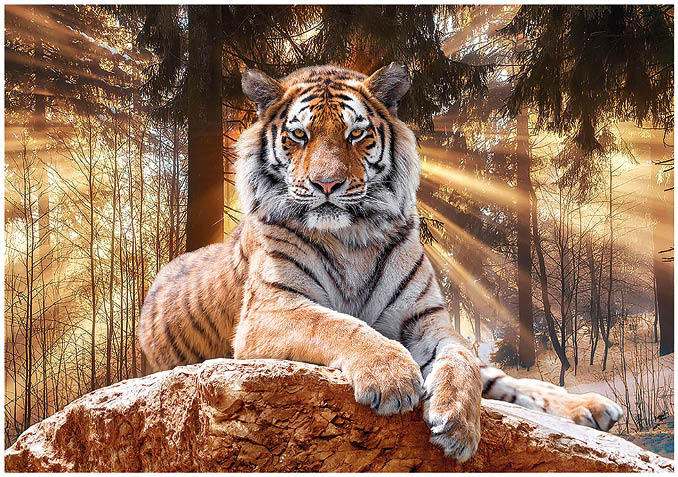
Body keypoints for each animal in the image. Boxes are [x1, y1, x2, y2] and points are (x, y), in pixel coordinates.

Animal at [137, 63, 623, 462]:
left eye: (356, 134)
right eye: (299, 136)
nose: (327, 184)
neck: (351, 237)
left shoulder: (427, 320)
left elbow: (461, 360)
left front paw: (458, 424)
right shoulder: (270, 310)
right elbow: (338, 324)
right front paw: (392, 377)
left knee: (502, 379)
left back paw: (594, 407)